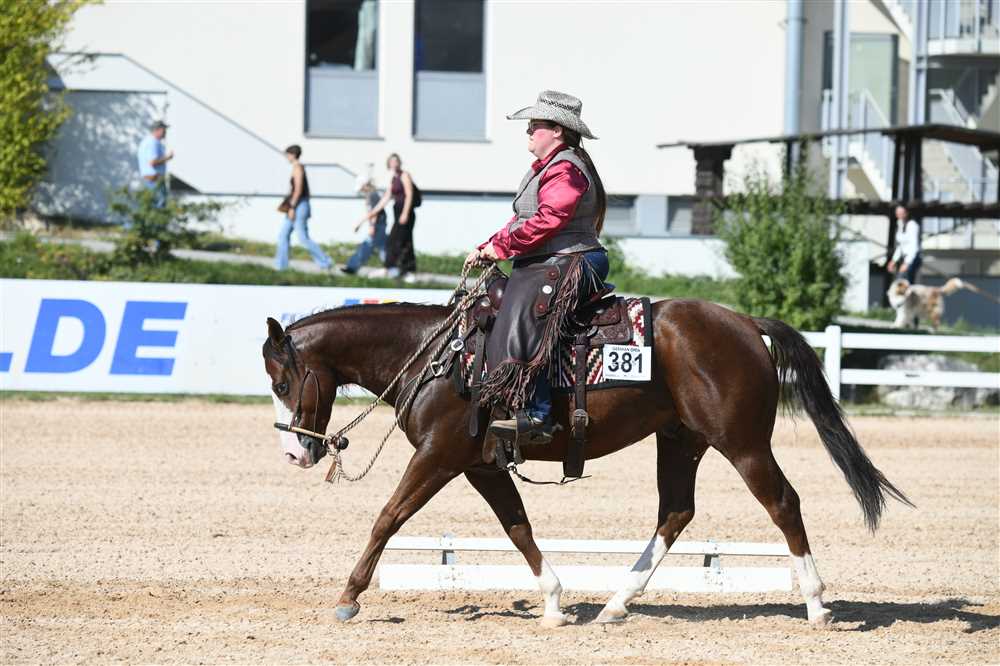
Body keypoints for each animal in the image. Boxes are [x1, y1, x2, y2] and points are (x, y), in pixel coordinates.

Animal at [261, 298, 911, 627]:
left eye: (283, 379)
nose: (294, 451)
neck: (439, 357)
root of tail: (745, 323)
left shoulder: (439, 457)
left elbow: (388, 518)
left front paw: (349, 597)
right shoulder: (482, 465)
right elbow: (517, 527)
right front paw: (552, 602)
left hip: (744, 443)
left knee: (782, 503)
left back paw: (817, 604)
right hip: (680, 440)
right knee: (675, 512)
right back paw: (616, 604)